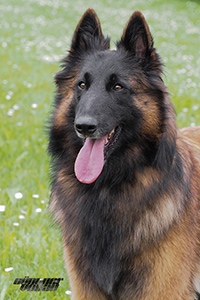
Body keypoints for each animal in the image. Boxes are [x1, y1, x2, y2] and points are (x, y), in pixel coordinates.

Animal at [48, 8, 200, 298]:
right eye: (81, 85)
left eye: (118, 87)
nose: (84, 126)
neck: (107, 188)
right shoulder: (86, 287)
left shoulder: (161, 289)